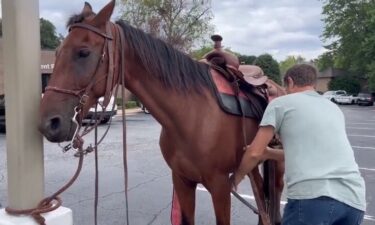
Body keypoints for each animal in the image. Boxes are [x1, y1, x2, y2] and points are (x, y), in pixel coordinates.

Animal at [39, 0, 284, 224]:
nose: (49, 123)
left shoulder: (220, 186)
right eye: (57, 52)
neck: (192, 116)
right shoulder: (182, 181)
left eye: (83, 52)